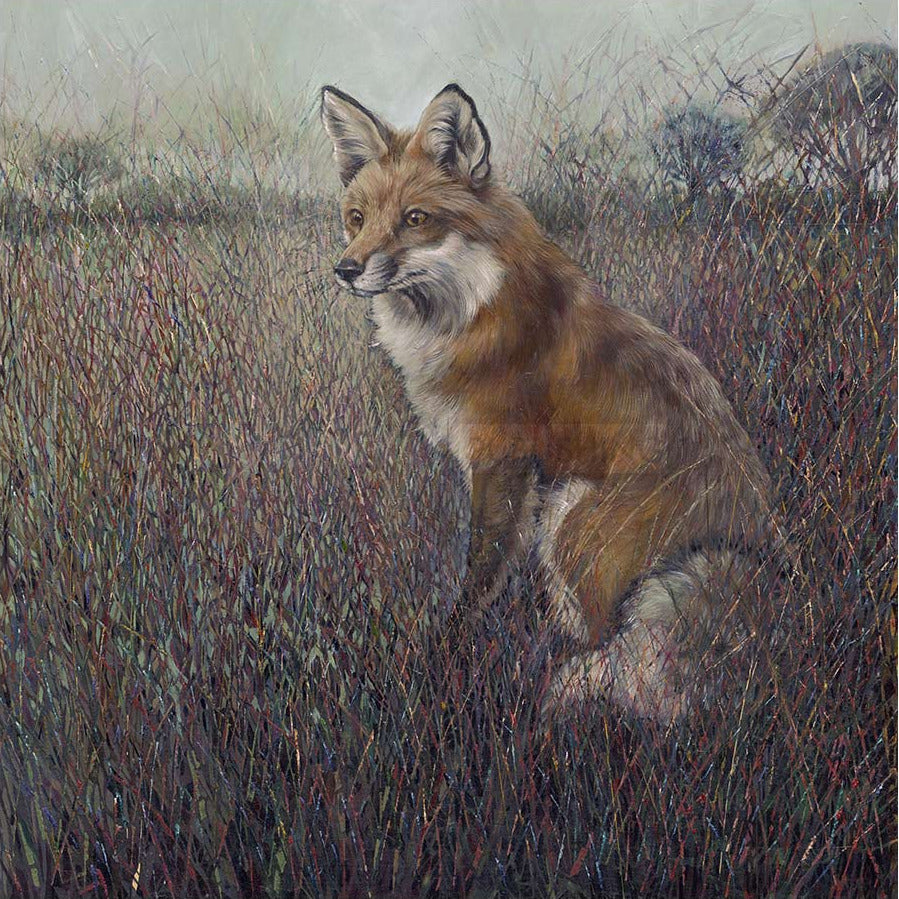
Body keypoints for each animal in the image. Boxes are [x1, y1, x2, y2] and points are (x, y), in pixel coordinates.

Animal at [320, 83, 772, 722]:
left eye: (415, 219)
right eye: (356, 218)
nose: (346, 269)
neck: (473, 307)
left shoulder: (501, 459)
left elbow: (480, 573)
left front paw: (446, 652)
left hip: (574, 520)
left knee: (610, 653)